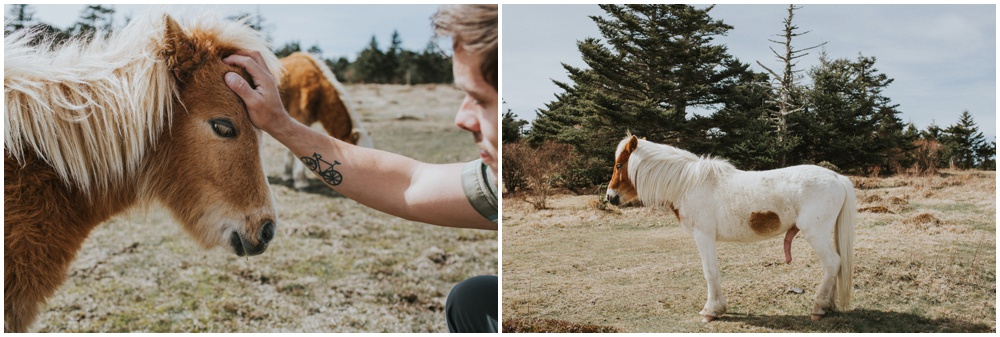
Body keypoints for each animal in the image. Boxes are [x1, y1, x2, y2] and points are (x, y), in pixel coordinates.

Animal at [604, 134, 856, 320]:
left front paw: (712, 310)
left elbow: (710, 271)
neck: (688, 184)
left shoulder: (704, 236)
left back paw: (819, 307)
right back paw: (829, 305)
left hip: (815, 233)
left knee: (832, 263)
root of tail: (837, 177)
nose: (610, 197)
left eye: (619, 164)